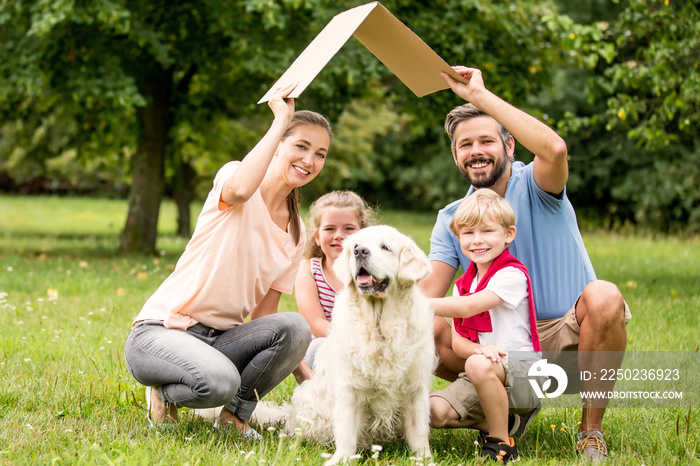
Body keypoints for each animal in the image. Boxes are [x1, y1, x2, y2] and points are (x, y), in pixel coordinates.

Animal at [288, 224, 434, 464]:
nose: (360, 252)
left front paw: (424, 459)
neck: (380, 326)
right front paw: (341, 459)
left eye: (386, 247)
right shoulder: (350, 388)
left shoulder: (415, 389)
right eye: (356, 245)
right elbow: (347, 431)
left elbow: (419, 431)